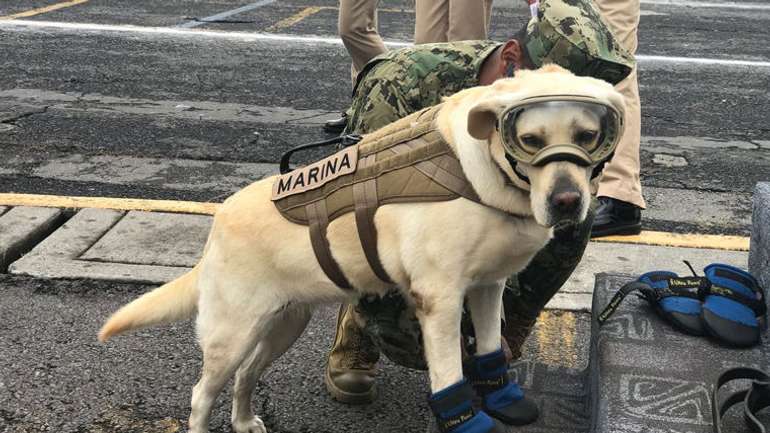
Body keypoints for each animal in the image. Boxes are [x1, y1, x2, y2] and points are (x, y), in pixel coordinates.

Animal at [97, 64, 624, 432]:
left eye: (589, 136)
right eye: (529, 139)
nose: (567, 202)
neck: (486, 173)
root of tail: (217, 226)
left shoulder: (488, 287)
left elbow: (491, 349)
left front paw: (502, 399)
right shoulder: (439, 300)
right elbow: (449, 374)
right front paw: (467, 421)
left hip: (282, 325)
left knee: (246, 376)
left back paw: (245, 421)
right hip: (232, 334)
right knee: (201, 395)